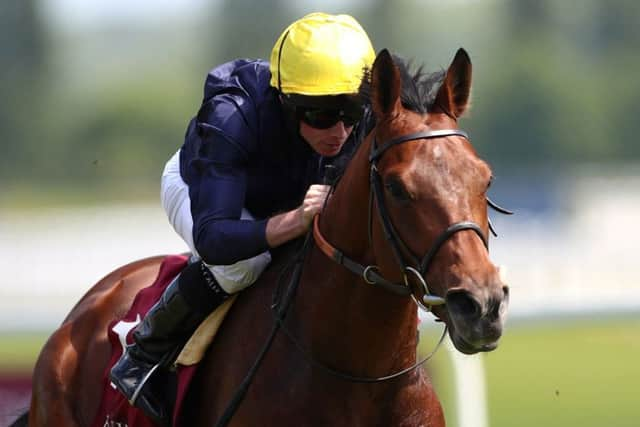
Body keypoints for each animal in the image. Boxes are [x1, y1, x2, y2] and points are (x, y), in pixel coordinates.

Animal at [21, 47, 510, 427]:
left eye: (485, 179)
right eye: (396, 187)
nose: (482, 304)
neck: (360, 377)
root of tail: (85, 309)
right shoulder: (227, 129)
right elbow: (216, 236)